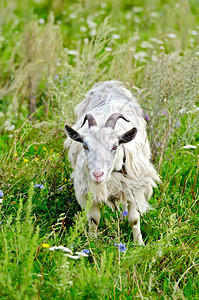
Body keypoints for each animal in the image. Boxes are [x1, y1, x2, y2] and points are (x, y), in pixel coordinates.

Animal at [64, 81, 161, 245]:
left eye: (115, 147)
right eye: (85, 146)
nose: (98, 175)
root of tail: (109, 83)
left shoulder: (135, 186)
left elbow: (134, 219)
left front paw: (139, 244)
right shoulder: (88, 190)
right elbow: (94, 219)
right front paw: (92, 242)